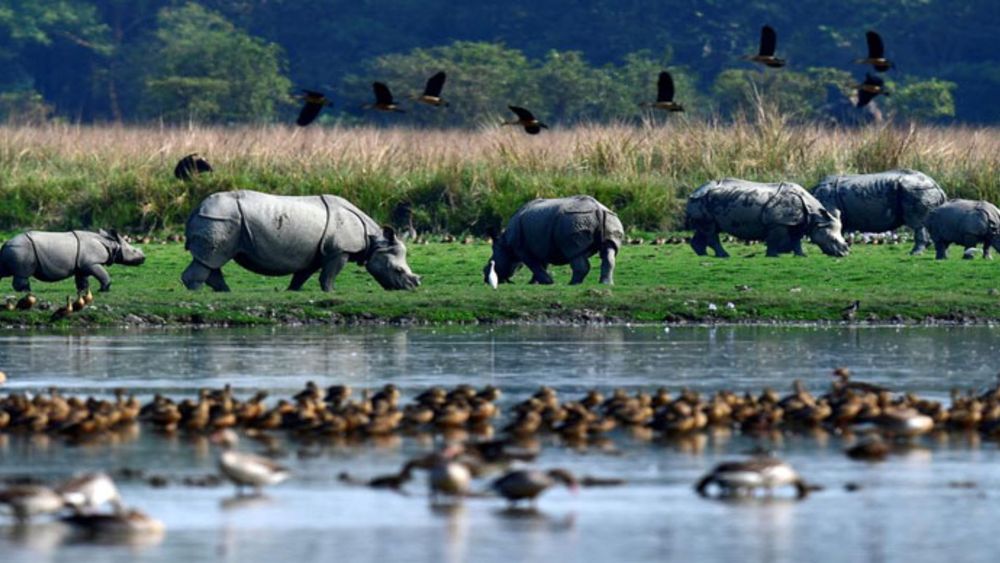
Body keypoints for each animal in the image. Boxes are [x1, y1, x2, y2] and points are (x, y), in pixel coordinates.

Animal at [0, 230, 145, 292]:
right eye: (134, 251)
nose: (143, 258)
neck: (111, 244)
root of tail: (6, 243)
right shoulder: (91, 263)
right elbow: (103, 274)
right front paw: (104, 289)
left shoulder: (82, 264)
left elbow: (82, 279)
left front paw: (83, 291)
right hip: (22, 249)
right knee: (22, 274)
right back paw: (26, 291)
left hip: (15, 248)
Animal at [181, 190, 420, 292]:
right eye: (398, 270)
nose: (412, 287)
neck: (374, 241)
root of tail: (196, 209)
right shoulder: (340, 250)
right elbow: (329, 275)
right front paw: (330, 293)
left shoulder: (317, 252)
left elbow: (302, 275)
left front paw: (292, 291)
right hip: (219, 219)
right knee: (211, 258)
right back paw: (198, 293)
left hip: (220, 220)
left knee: (210, 260)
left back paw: (224, 292)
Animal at [484, 196, 624, 285]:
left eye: (491, 263)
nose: (485, 277)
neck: (505, 244)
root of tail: (598, 209)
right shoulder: (541, 245)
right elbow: (541, 265)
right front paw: (534, 283)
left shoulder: (522, 249)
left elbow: (533, 264)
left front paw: (547, 282)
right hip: (610, 219)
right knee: (609, 249)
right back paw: (606, 284)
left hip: (573, 221)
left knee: (574, 252)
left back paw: (572, 284)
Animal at [685, 179, 849, 258]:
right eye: (833, 240)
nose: (844, 254)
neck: (816, 217)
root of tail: (693, 191)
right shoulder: (778, 221)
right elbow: (774, 239)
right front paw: (773, 256)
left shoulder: (797, 222)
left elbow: (796, 239)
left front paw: (802, 255)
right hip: (701, 200)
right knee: (711, 230)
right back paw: (724, 256)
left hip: (705, 202)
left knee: (705, 228)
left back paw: (702, 255)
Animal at [811, 169, 946, 254]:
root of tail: (936, 185)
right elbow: (840, 231)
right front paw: (845, 248)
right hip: (922, 190)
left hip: (917, 190)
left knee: (917, 223)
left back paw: (914, 253)